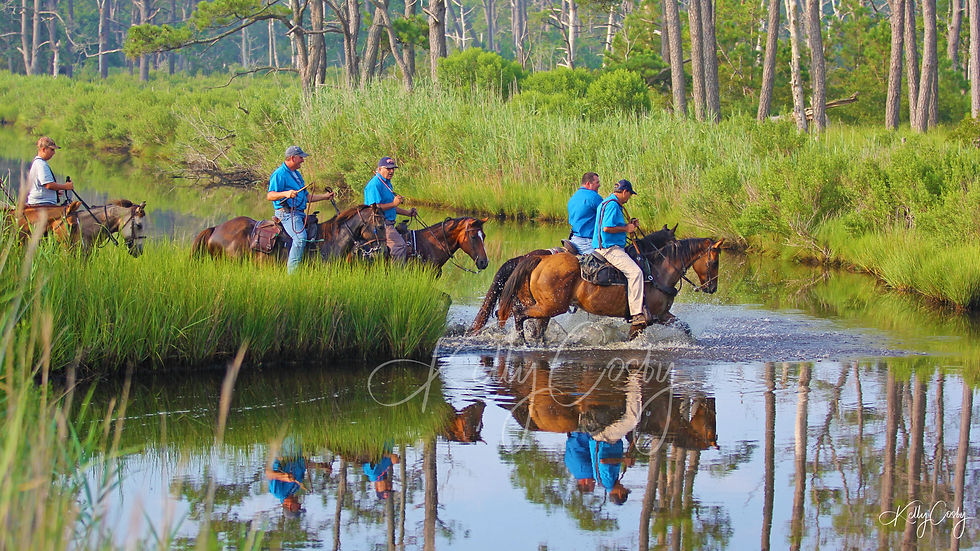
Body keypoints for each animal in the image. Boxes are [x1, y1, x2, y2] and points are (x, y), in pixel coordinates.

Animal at [496, 237, 723, 342]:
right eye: (714, 262)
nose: (712, 288)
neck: (659, 271)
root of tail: (542, 258)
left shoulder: (662, 315)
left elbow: (685, 327)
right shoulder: (643, 319)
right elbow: (630, 338)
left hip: (547, 307)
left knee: (536, 325)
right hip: (551, 306)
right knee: (519, 313)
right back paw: (521, 341)